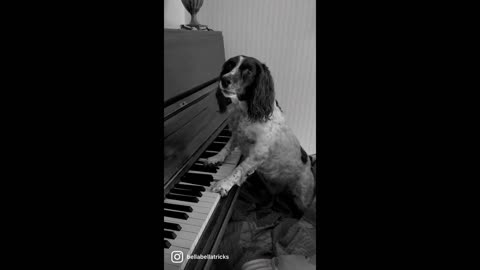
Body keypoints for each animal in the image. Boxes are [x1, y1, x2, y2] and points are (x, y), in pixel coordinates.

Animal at [205, 55, 316, 215]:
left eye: (248, 71)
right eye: (229, 66)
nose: (224, 79)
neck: (245, 111)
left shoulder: (257, 153)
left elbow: (238, 170)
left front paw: (223, 184)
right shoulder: (237, 134)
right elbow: (226, 147)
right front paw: (215, 158)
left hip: (301, 199)